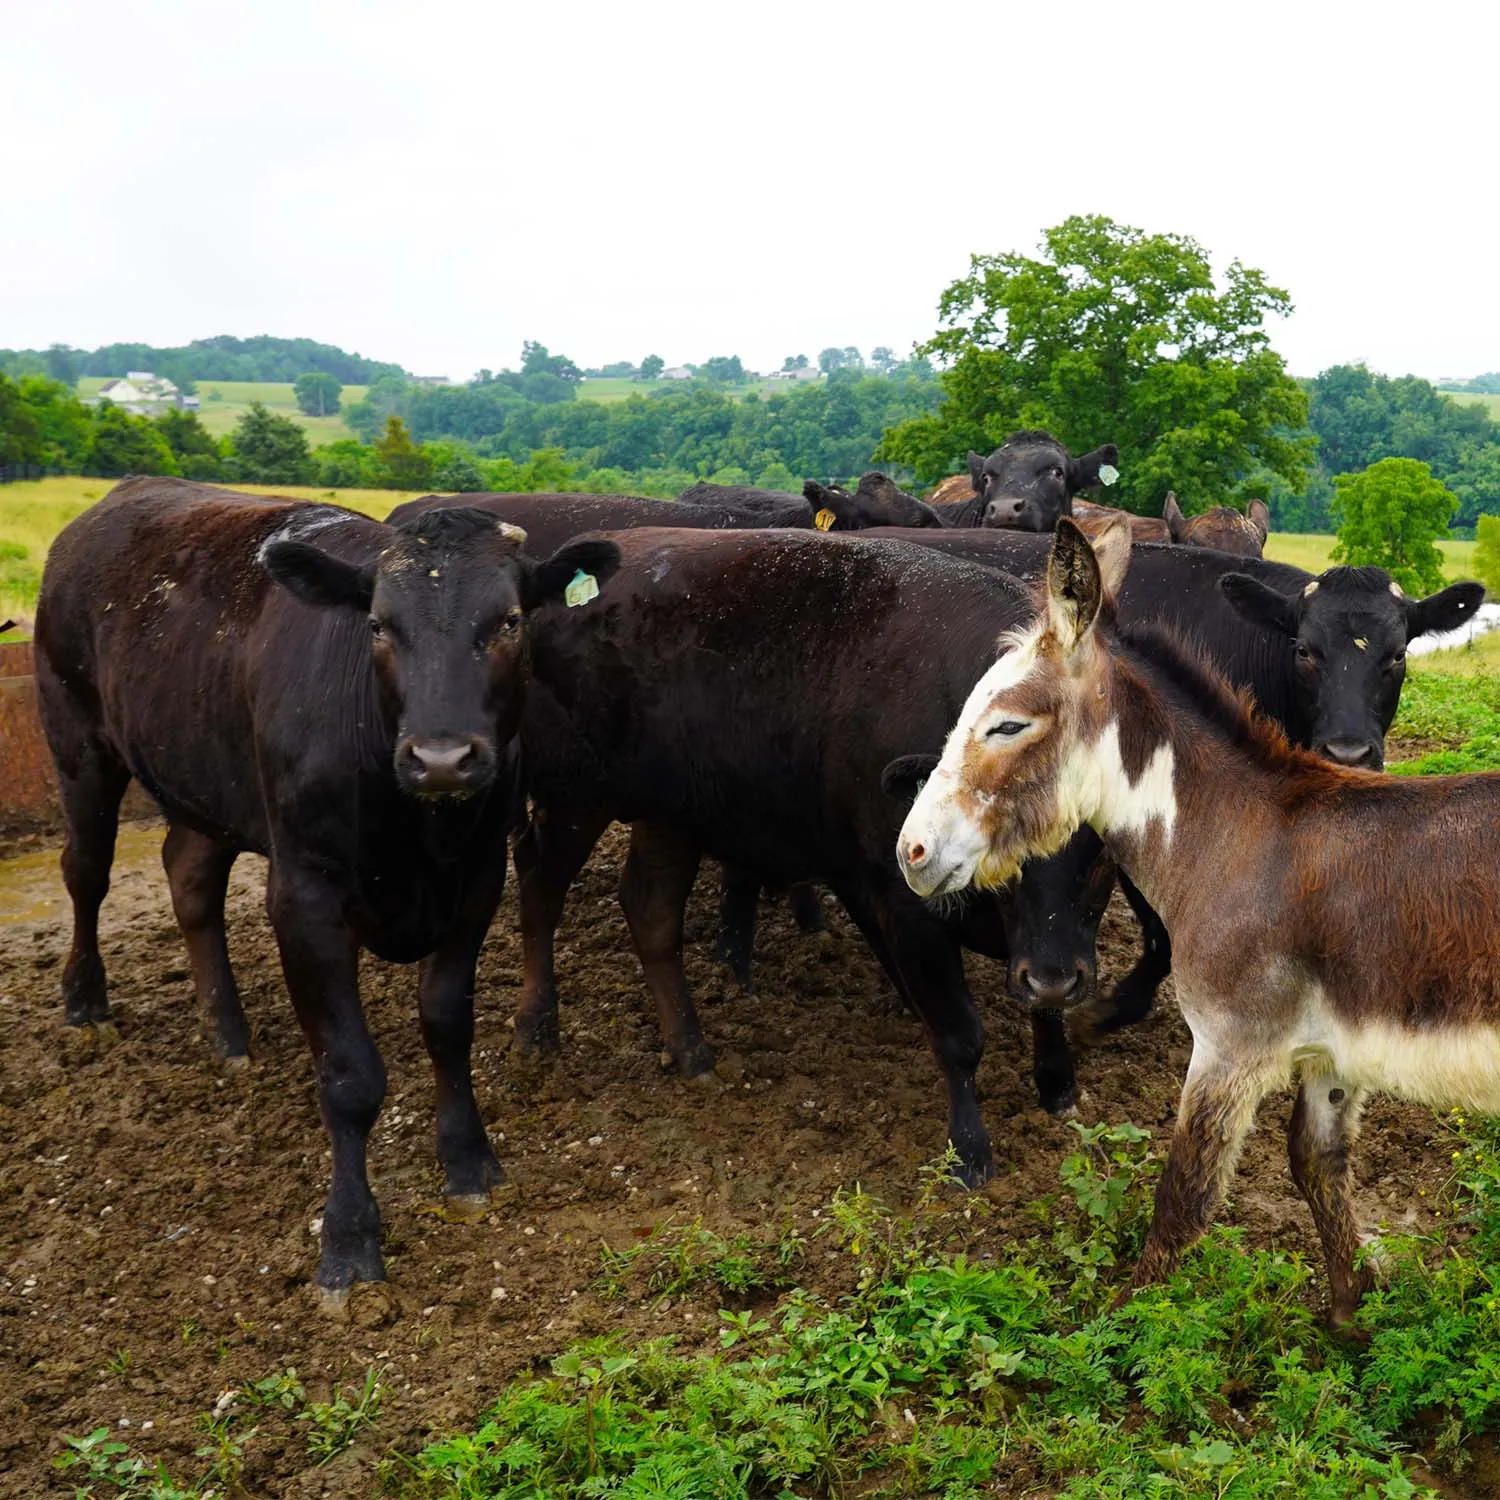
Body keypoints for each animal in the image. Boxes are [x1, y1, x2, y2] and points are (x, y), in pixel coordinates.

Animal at [34, 476, 619, 1291]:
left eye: (508, 621)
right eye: (378, 625)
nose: (442, 758)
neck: (419, 833)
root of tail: (129, 491)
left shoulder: (478, 881)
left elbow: (448, 1026)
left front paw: (469, 1164)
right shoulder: (303, 898)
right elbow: (349, 1076)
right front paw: (349, 1239)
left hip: (210, 784)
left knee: (190, 877)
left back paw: (227, 1032)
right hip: (78, 741)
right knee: (85, 871)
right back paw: (86, 1002)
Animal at [898, 518, 1500, 1324]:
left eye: (1006, 725)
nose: (910, 851)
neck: (1241, 831)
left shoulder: (1229, 1046)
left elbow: (1183, 1198)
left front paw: (1123, 1329)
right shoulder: (1330, 1055)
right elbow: (1316, 1166)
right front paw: (1352, 1318)